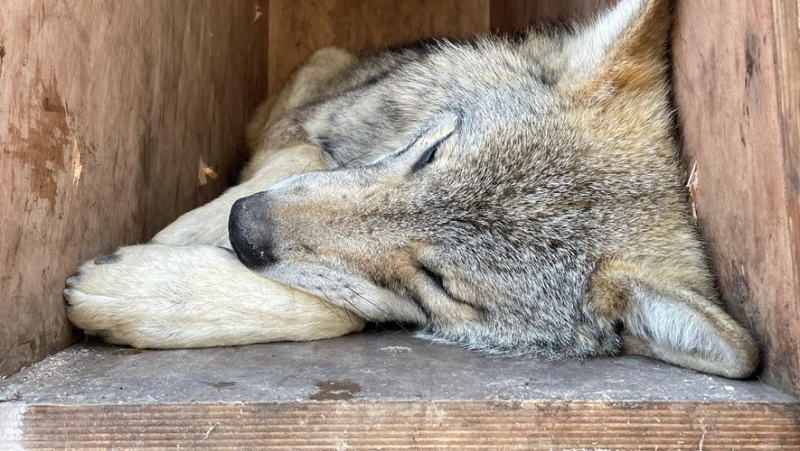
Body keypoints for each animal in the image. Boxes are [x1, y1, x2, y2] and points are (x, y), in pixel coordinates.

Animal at [65, 0, 760, 382]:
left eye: (442, 284)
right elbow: (289, 162)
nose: (247, 228)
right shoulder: (302, 122)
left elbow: (340, 311)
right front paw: (181, 236)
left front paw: (145, 288)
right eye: (430, 154)